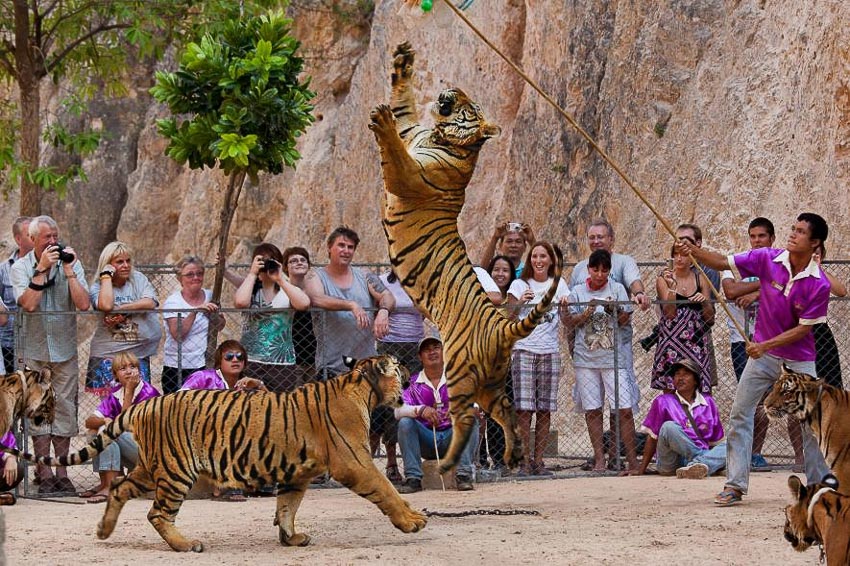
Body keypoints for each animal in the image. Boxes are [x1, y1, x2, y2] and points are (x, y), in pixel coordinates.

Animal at [0, 358, 424, 552]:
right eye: (397, 370)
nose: (407, 381)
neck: (362, 388)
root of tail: (147, 403)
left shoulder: (297, 473)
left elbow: (287, 506)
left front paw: (291, 537)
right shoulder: (355, 461)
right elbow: (386, 490)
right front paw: (412, 521)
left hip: (151, 468)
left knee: (120, 489)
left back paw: (104, 530)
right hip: (176, 472)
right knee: (157, 513)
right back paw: (186, 544)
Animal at [366, 41, 560, 474]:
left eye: (469, 107)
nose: (448, 93)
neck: (441, 137)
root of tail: (502, 325)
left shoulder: (410, 176)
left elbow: (395, 155)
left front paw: (380, 121)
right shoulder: (413, 129)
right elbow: (404, 104)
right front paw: (403, 60)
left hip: (458, 374)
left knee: (466, 420)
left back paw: (449, 464)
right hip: (492, 383)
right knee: (506, 413)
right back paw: (513, 454)